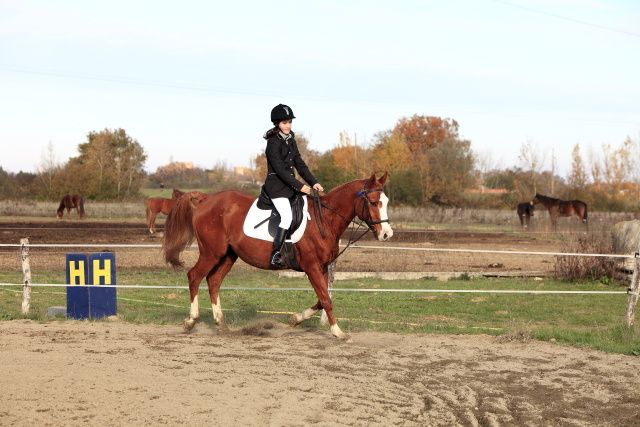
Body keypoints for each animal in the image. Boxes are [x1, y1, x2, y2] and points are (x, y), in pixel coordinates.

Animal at [162, 172, 392, 340]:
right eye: (373, 202)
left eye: (386, 201)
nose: (387, 234)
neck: (324, 219)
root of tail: (207, 199)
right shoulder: (312, 267)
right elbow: (326, 299)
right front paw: (338, 332)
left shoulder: (322, 266)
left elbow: (321, 299)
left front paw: (295, 319)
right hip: (211, 252)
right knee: (194, 276)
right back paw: (191, 321)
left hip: (228, 255)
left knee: (213, 281)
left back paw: (221, 324)